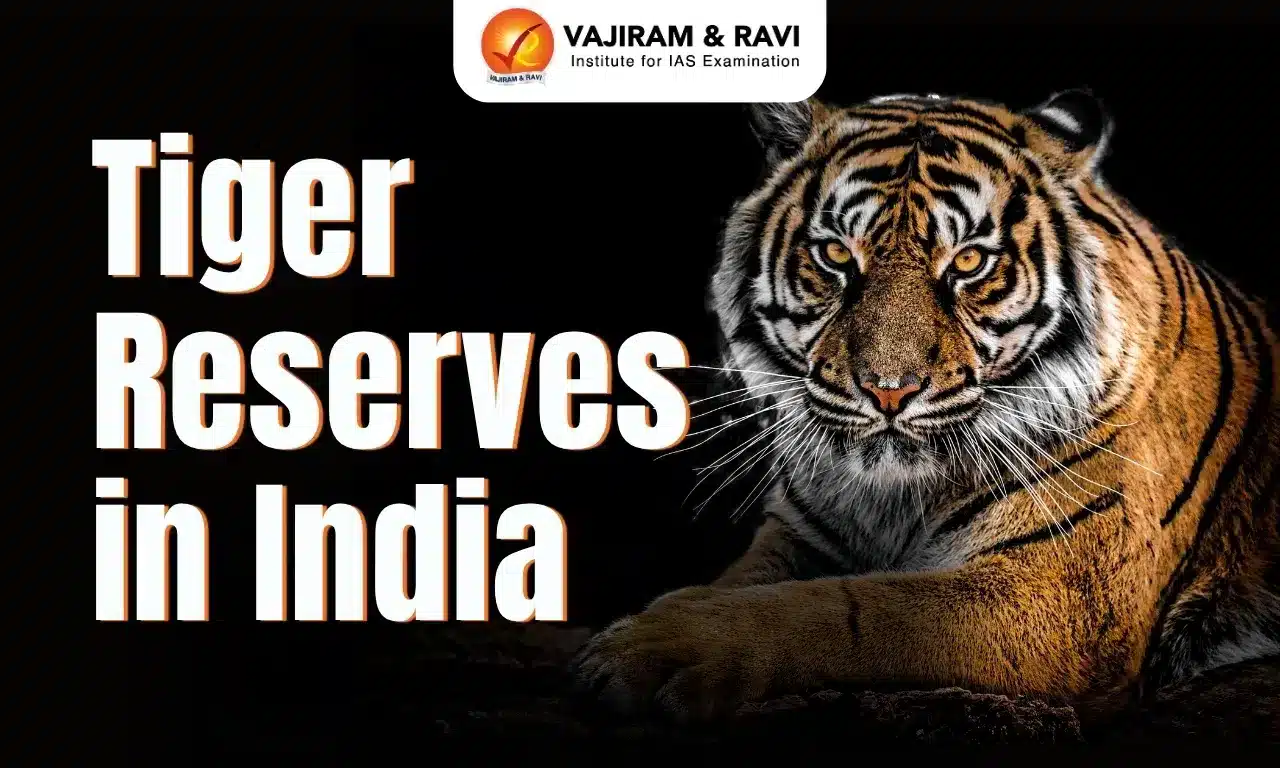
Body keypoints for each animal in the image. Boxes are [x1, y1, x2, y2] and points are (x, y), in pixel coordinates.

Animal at [569, 90, 1280, 724]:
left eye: (968, 262)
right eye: (835, 254)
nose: (889, 389)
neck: (891, 497)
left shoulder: (1060, 596)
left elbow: (847, 610)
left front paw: (650, 650)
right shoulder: (797, 536)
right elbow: (747, 586)